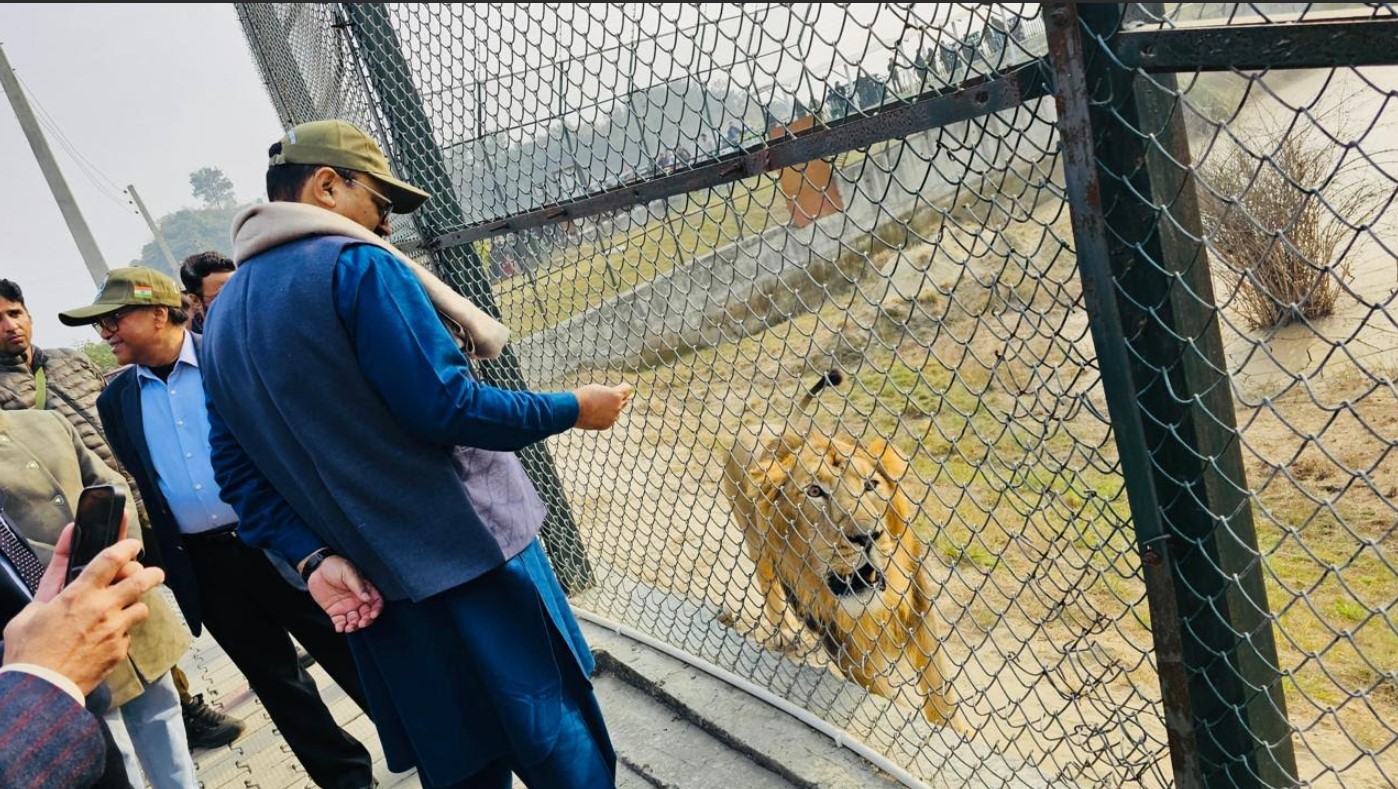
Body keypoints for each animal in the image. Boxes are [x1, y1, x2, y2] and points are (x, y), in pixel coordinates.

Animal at [721, 369, 961, 727]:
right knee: (768, 588)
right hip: (755, 543)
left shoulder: (920, 607)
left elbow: (939, 689)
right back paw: (783, 633)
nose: (867, 536)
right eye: (815, 492)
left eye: (871, 485)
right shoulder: (844, 650)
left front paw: (951, 732)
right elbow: (883, 698)